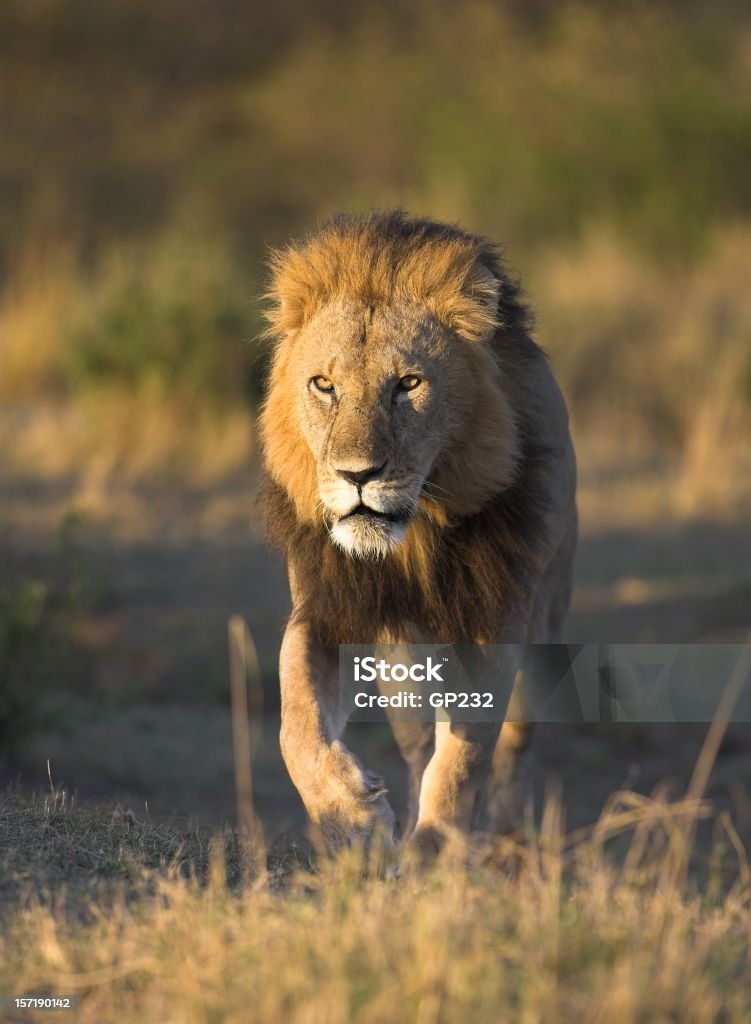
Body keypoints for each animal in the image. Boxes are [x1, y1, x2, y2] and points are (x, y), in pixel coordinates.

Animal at [260, 211, 577, 860]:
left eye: (408, 384)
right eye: (323, 385)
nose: (357, 475)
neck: (415, 541)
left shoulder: (498, 616)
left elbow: (467, 755)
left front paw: (439, 849)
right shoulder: (324, 606)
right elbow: (295, 722)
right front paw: (352, 818)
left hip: (545, 623)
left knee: (513, 749)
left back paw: (505, 844)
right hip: (401, 661)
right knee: (415, 744)